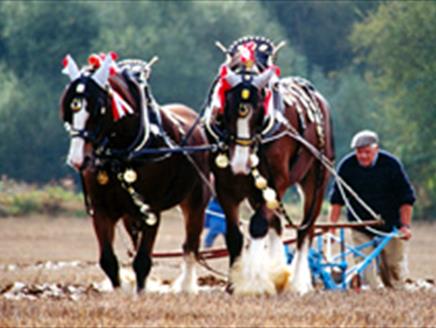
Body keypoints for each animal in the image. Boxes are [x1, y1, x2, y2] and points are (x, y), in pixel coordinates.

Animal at [60, 52, 210, 294]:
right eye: (70, 108)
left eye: (99, 108)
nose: (78, 159)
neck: (121, 155)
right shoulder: (102, 210)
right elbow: (108, 261)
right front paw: (120, 293)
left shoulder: (151, 210)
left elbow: (142, 261)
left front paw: (140, 294)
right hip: (129, 214)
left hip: (195, 201)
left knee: (190, 247)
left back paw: (186, 287)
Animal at [204, 37, 334, 294]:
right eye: (227, 107)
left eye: (258, 109)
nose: (240, 163)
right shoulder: (226, 188)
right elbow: (234, 235)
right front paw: (234, 284)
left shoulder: (277, 182)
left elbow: (257, 226)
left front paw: (253, 282)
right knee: (278, 225)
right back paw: (277, 273)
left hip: (316, 181)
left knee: (305, 229)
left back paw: (298, 283)